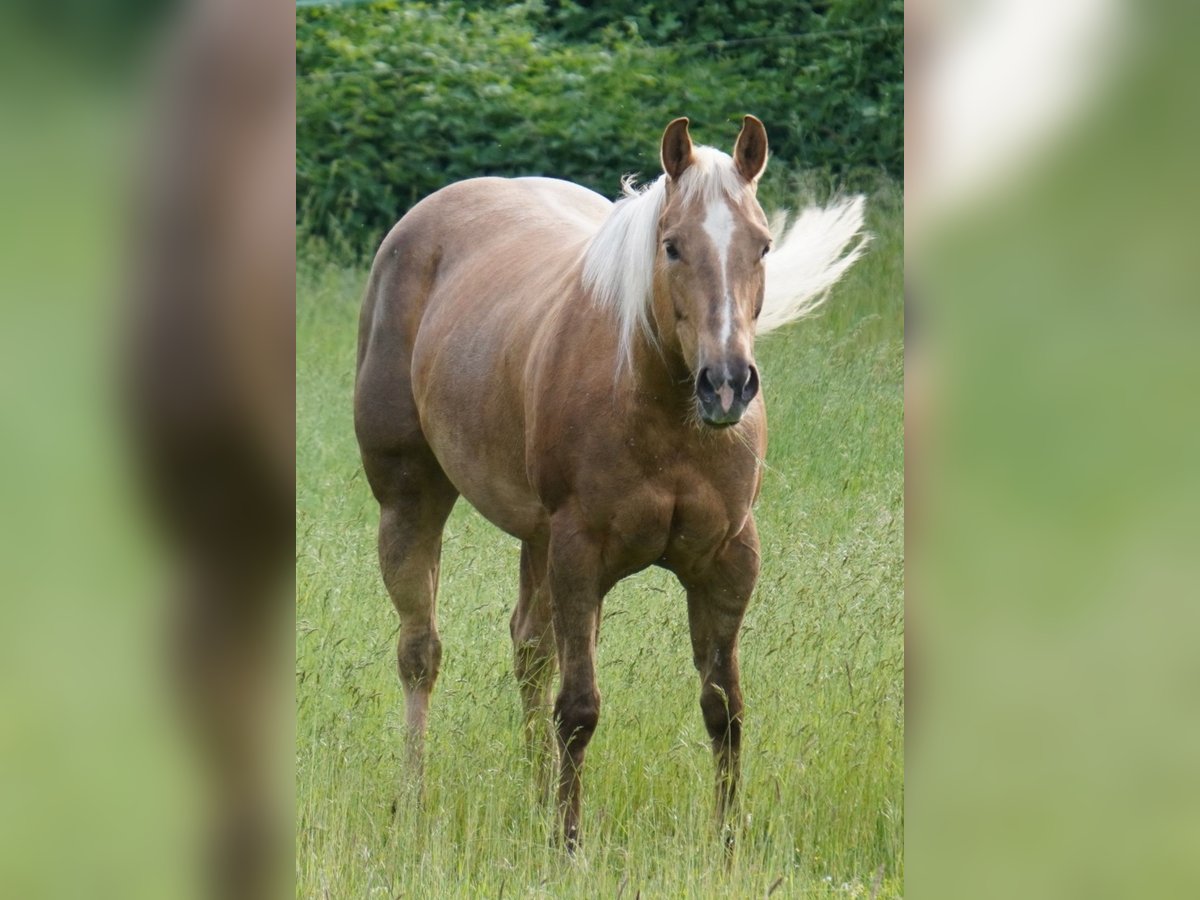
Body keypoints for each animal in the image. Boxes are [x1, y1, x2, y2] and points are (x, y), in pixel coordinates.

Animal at [354, 116, 866, 849]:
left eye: (762, 245)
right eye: (673, 247)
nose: (727, 384)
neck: (663, 412)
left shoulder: (728, 560)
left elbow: (725, 708)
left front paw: (727, 846)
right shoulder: (580, 555)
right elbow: (579, 709)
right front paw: (568, 846)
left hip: (536, 539)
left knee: (528, 650)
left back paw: (535, 793)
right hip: (410, 499)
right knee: (421, 652)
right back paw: (416, 799)